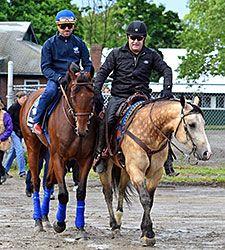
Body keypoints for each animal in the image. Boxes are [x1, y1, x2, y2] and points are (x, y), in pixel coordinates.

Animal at [19, 63, 96, 235]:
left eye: (92, 96)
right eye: (73, 95)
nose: (83, 129)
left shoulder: (86, 159)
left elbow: (81, 192)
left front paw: (80, 227)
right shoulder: (59, 157)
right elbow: (63, 194)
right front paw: (59, 224)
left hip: (48, 153)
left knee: (48, 182)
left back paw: (45, 218)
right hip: (33, 147)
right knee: (36, 181)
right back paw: (38, 221)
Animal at [98, 96, 211, 246]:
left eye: (203, 124)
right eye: (192, 124)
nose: (206, 153)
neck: (149, 131)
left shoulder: (155, 174)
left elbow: (150, 201)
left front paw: (145, 231)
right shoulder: (137, 171)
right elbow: (145, 199)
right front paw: (149, 234)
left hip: (125, 171)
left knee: (121, 190)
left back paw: (118, 219)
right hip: (107, 167)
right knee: (108, 193)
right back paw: (114, 225)